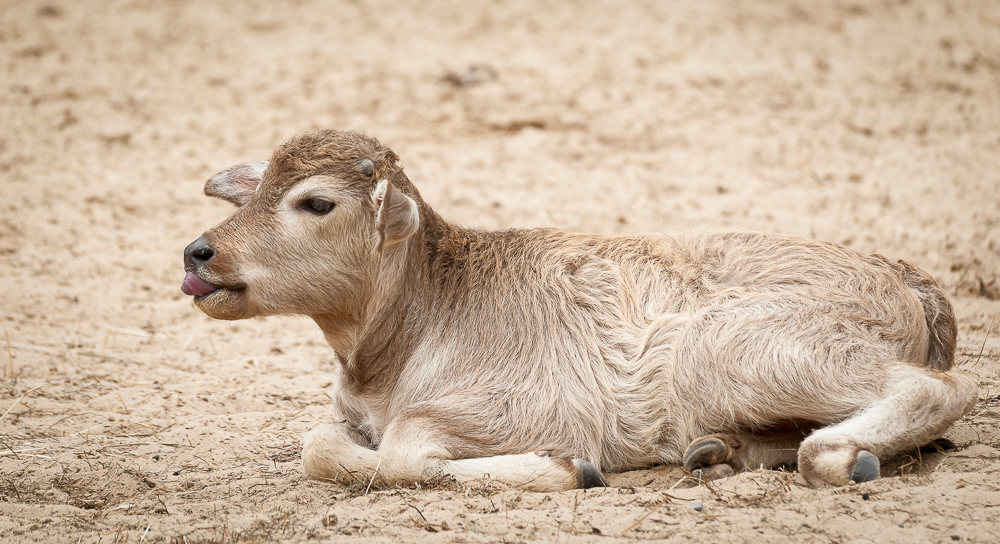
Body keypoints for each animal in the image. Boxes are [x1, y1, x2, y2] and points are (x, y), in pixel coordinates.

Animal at [180, 130, 976, 490]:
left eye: (316, 203)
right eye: (254, 193)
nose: (198, 253)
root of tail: (906, 278)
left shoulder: (522, 408)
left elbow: (407, 451)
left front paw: (568, 469)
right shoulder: (347, 414)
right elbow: (318, 446)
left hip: (742, 351)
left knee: (937, 389)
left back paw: (838, 455)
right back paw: (720, 451)